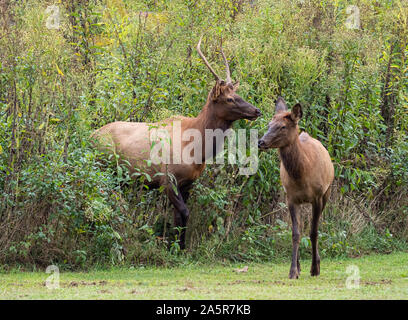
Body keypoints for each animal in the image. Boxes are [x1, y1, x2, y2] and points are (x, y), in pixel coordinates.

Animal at [91, 35, 262, 250]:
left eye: (238, 95)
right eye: (230, 99)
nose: (256, 110)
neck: (197, 150)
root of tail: (90, 137)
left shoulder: (188, 183)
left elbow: (179, 218)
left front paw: (178, 247)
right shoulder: (166, 179)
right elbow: (184, 213)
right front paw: (176, 247)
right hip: (105, 168)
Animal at [258, 97, 334, 278]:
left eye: (283, 126)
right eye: (269, 124)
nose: (261, 142)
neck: (302, 175)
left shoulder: (317, 197)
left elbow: (313, 232)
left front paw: (315, 268)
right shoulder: (291, 198)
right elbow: (295, 233)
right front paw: (293, 270)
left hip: (327, 193)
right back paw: (299, 267)